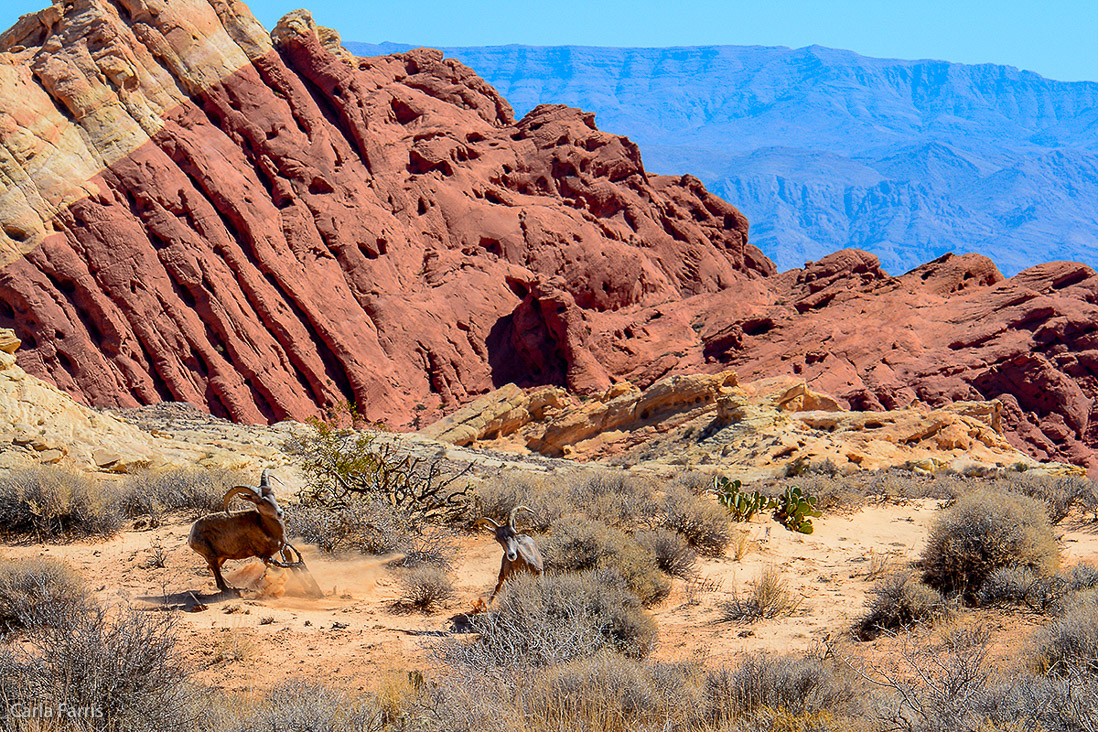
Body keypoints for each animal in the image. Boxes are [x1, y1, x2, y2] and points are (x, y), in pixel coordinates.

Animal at [187, 469, 318, 597]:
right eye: (260, 502)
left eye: (273, 494)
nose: (280, 513)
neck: (267, 529)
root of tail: (191, 536)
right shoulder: (266, 557)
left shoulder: (285, 549)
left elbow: (296, 570)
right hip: (212, 557)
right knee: (217, 577)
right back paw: (233, 590)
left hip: (221, 558)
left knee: (211, 569)